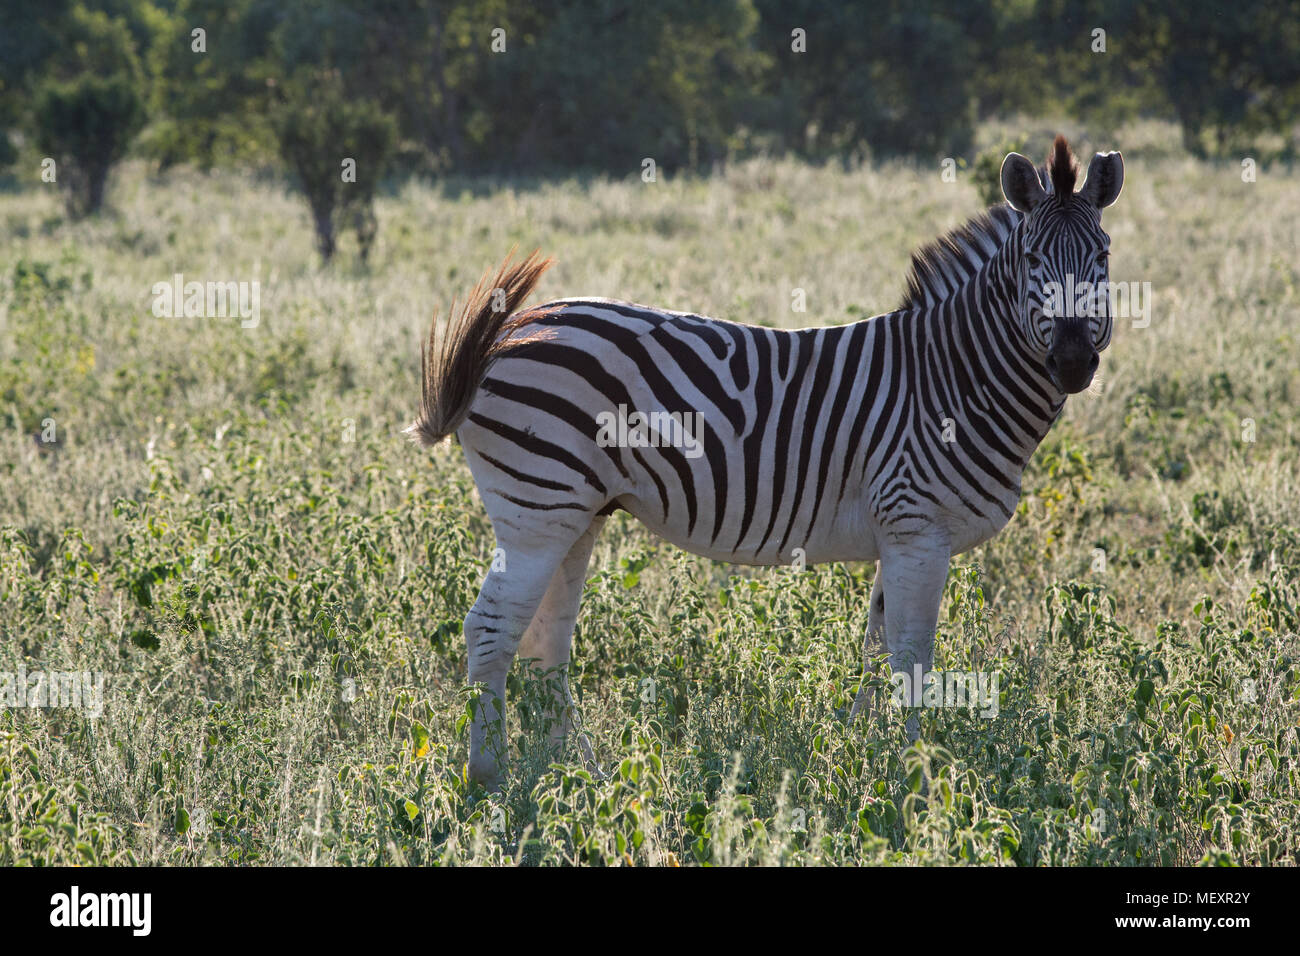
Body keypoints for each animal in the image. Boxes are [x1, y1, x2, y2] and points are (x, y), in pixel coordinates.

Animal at [410, 136, 1123, 790]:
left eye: (1103, 256)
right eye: (1031, 259)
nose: (1072, 361)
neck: (951, 377)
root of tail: (510, 329)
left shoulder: (898, 532)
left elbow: (875, 647)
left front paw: (859, 753)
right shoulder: (919, 528)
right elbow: (911, 658)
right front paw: (914, 775)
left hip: (575, 513)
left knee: (546, 642)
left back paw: (582, 776)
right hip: (537, 505)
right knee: (492, 631)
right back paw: (489, 779)